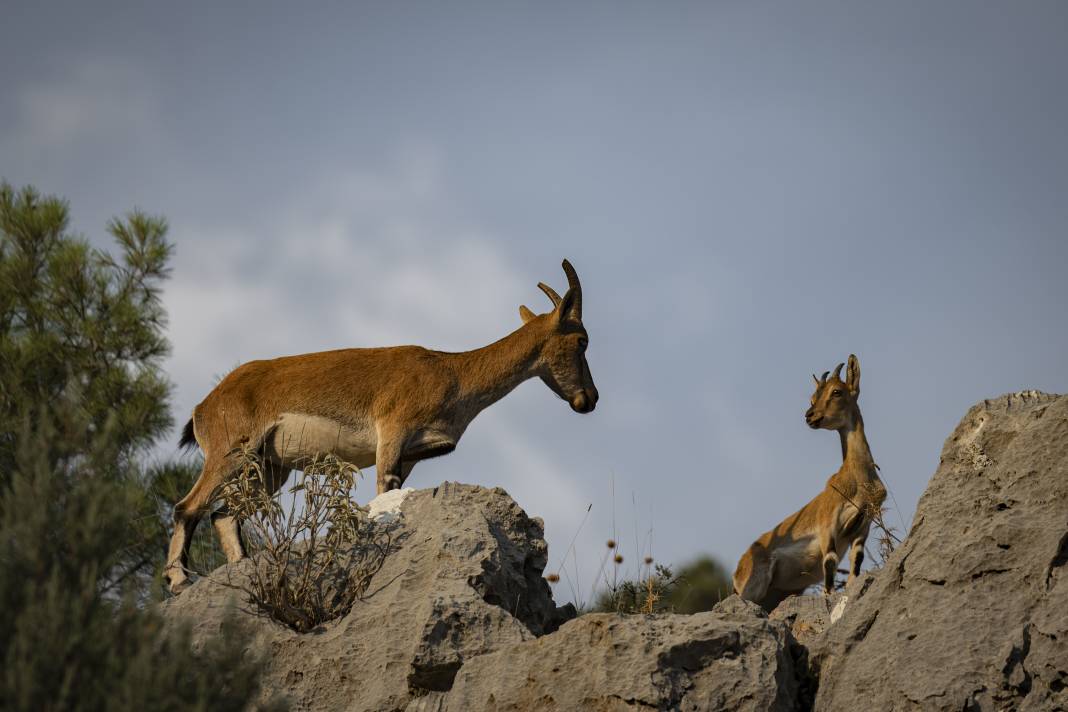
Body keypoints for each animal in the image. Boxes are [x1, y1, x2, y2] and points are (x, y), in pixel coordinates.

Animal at [166, 259, 602, 593]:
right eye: (582, 340)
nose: (589, 399)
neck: (453, 374)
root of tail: (204, 406)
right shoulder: (391, 433)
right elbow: (381, 493)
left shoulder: (413, 454)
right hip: (230, 451)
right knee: (187, 507)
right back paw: (179, 581)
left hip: (269, 468)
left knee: (224, 515)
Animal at [730, 356, 888, 614]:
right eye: (813, 398)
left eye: (836, 391)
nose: (810, 415)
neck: (857, 480)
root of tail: (738, 571)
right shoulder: (828, 526)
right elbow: (830, 561)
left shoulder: (863, 525)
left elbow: (856, 560)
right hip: (754, 587)